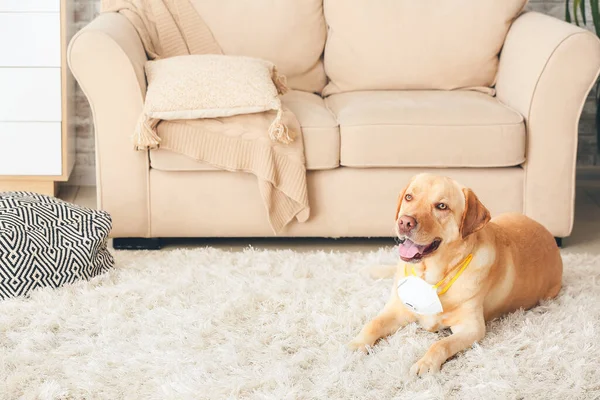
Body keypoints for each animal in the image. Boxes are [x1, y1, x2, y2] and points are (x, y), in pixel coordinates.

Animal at [346, 174, 564, 376]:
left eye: (441, 206)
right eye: (409, 197)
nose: (404, 222)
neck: (430, 276)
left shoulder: (472, 328)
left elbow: (441, 344)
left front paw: (425, 363)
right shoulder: (397, 309)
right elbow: (373, 323)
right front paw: (356, 345)